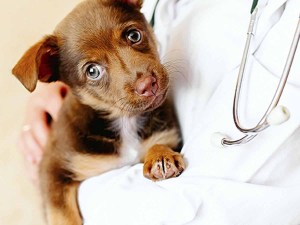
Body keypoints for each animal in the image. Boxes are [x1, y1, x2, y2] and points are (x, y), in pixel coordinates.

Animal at [12, 0, 185, 225]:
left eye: (134, 35)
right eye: (92, 71)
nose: (148, 84)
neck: (125, 120)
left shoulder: (167, 135)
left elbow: (158, 143)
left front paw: (160, 156)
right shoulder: (53, 169)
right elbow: (61, 214)